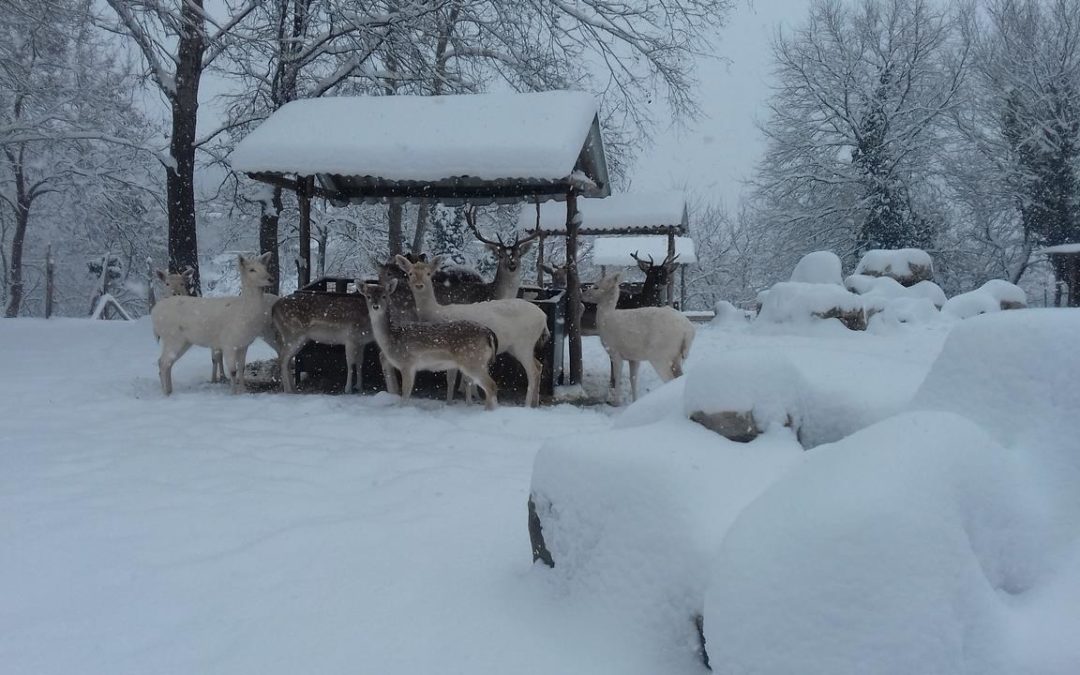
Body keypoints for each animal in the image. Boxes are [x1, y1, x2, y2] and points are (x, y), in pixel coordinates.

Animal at [154, 250, 276, 393]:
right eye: (252, 269)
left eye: (265, 268)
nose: (271, 279)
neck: (244, 316)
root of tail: (154, 314)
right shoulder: (228, 342)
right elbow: (232, 370)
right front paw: (234, 393)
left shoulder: (244, 344)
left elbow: (242, 368)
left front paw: (244, 390)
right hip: (172, 337)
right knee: (163, 362)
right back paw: (166, 392)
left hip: (183, 341)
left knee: (166, 362)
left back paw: (170, 390)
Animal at [358, 278, 501, 410]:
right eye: (368, 296)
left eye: (384, 296)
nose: (375, 306)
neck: (392, 339)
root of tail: (489, 333)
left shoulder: (407, 362)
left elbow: (406, 392)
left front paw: (400, 408)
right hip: (482, 362)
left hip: (473, 360)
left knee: (491, 385)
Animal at [395, 254, 548, 406]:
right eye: (410, 273)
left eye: (428, 273)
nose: (419, 285)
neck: (437, 313)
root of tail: (544, 317)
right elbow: (459, 379)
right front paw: (459, 401)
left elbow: (457, 379)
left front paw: (459, 402)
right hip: (518, 346)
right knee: (539, 365)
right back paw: (535, 402)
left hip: (524, 343)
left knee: (532, 371)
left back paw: (527, 404)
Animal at [583, 270, 691, 406]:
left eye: (596, 286)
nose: (582, 295)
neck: (606, 319)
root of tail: (688, 331)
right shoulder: (633, 357)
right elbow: (633, 378)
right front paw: (634, 401)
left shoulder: (615, 351)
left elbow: (617, 376)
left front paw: (615, 402)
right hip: (677, 357)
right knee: (679, 376)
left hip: (660, 355)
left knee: (669, 378)